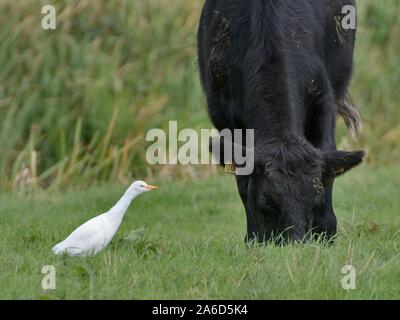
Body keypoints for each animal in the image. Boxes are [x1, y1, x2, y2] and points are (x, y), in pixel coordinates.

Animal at [197, 0, 366, 241]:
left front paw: (326, 231)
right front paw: (255, 236)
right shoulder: (223, 114)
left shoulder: (323, 97)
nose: (296, 242)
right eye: (267, 202)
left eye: (315, 199)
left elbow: (327, 155)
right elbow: (242, 177)